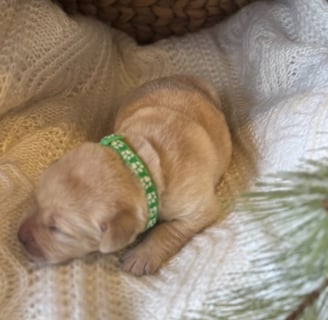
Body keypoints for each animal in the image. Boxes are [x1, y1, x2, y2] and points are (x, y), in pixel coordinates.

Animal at [18, 75, 232, 276]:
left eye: (57, 229)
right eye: (37, 202)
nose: (19, 237)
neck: (140, 163)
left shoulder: (198, 209)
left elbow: (167, 230)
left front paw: (142, 256)